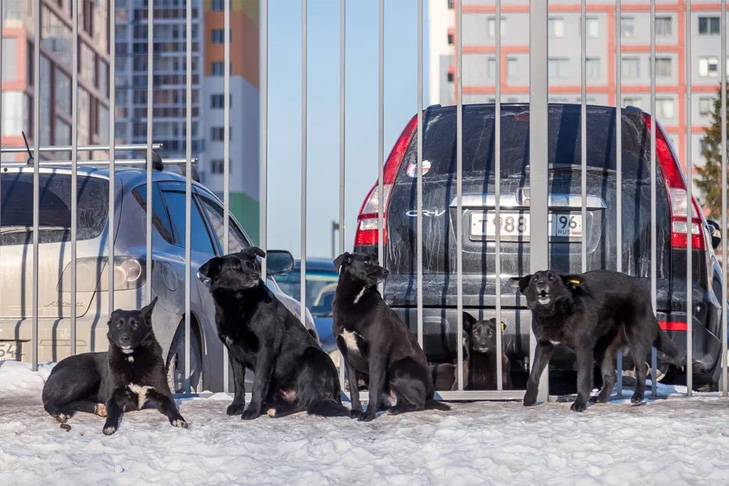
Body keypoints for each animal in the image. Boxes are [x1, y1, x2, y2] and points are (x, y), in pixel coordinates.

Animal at [40, 298, 188, 434]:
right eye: (118, 325)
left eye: (135, 324)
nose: (124, 339)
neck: (132, 359)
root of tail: (53, 369)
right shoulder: (113, 397)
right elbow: (112, 412)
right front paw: (109, 426)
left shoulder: (164, 396)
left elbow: (172, 407)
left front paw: (179, 419)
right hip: (87, 375)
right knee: (51, 402)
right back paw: (60, 413)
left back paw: (98, 408)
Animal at [198, 249, 348, 420]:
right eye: (235, 267)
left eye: (250, 265)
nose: (255, 276)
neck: (239, 303)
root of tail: (335, 394)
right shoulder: (234, 354)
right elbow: (239, 384)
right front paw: (237, 406)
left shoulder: (265, 350)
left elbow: (258, 384)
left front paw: (252, 410)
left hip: (313, 356)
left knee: (304, 401)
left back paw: (274, 410)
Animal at [332, 252, 446, 420]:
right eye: (367, 262)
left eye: (377, 261)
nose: (386, 271)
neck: (355, 300)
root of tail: (429, 394)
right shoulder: (348, 358)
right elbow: (353, 389)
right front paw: (356, 411)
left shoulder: (376, 354)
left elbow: (373, 388)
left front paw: (369, 414)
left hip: (398, 368)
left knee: (419, 403)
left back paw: (395, 409)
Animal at [516, 270, 680, 410]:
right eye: (535, 278)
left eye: (552, 278)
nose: (541, 283)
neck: (555, 313)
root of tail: (641, 285)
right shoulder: (543, 346)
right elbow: (534, 374)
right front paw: (529, 399)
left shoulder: (583, 348)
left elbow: (583, 378)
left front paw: (580, 404)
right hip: (601, 349)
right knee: (611, 376)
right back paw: (602, 398)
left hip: (636, 338)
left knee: (641, 368)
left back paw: (637, 396)